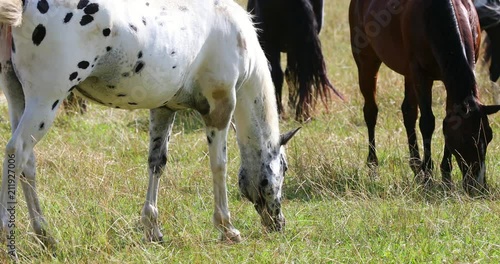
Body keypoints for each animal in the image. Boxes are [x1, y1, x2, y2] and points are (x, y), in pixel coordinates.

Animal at [0, 0, 298, 256]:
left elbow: (157, 163)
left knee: (27, 164)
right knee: (17, 151)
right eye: (284, 168)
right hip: (45, 100)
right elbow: (219, 165)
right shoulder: (220, 108)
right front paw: (227, 227)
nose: (279, 223)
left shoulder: (164, 109)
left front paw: (152, 229)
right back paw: (8, 235)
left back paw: (45, 236)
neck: (236, 36)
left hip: (18, 98)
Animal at [350, 0, 500, 194]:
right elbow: (427, 122)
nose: (479, 186)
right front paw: (428, 174)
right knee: (370, 111)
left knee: (408, 112)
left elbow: (448, 120)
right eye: (466, 139)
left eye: (489, 137)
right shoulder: (421, 75)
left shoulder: (446, 79)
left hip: (408, 73)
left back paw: (416, 167)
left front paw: (445, 174)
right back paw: (374, 166)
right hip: (366, 60)